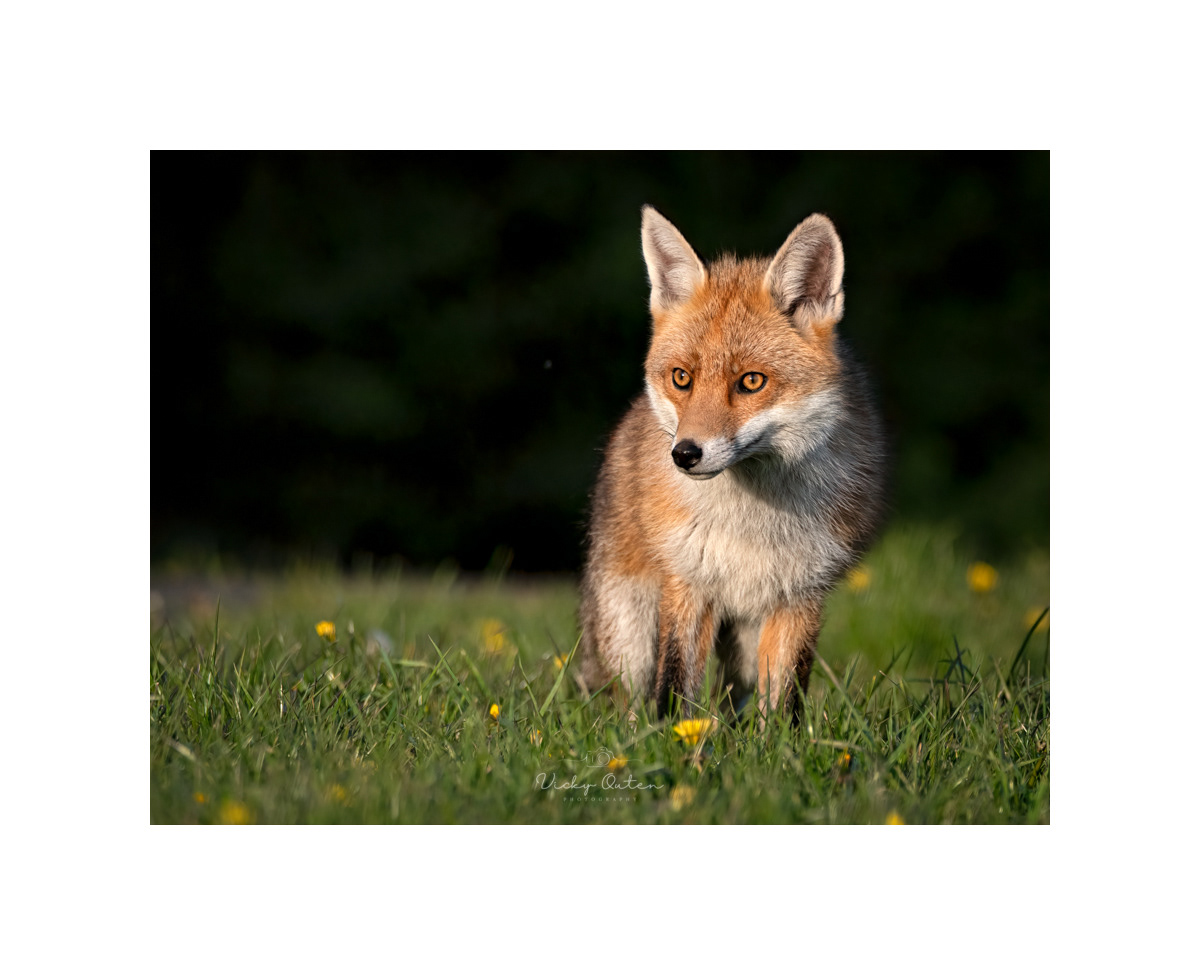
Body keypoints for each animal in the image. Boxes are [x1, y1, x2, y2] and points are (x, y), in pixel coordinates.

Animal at [578, 206, 886, 719]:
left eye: (751, 381)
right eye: (682, 377)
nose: (684, 454)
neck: (750, 525)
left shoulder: (800, 596)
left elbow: (784, 703)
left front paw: (780, 742)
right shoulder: (688, 584)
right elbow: (675, 689)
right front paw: (675, 740)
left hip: (742, 640)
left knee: (735, 699)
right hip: (629, 630)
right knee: (626, 701)